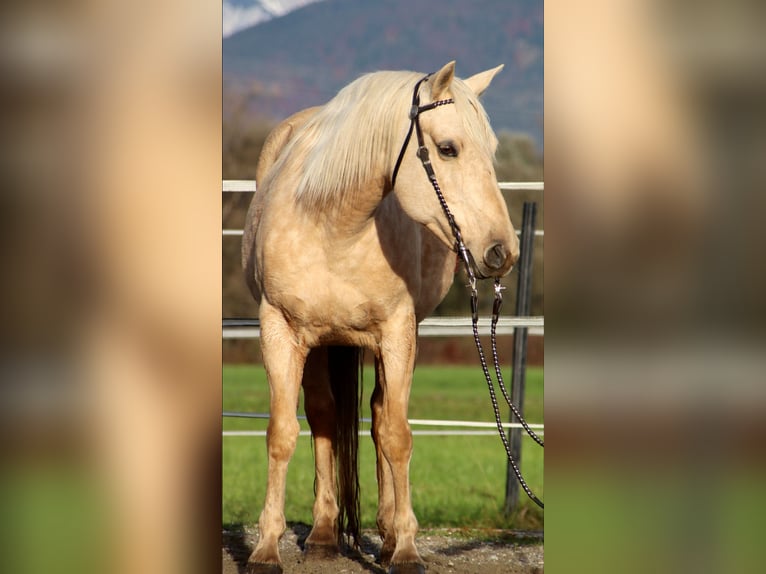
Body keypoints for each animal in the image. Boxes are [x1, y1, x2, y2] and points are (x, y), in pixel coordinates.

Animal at [241, 61, 519, 574]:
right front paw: (266, 549)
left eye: (491, 151)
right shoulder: (279, 331)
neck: (334, 224)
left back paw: (387, 535)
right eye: (448, 149)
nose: (501, 252)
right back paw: (324, 535)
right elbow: (283, 433)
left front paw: (405, 548)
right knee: (325, 415)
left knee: (378, 414)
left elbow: (395, 435)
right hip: (321, 342)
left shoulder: (396, 333)